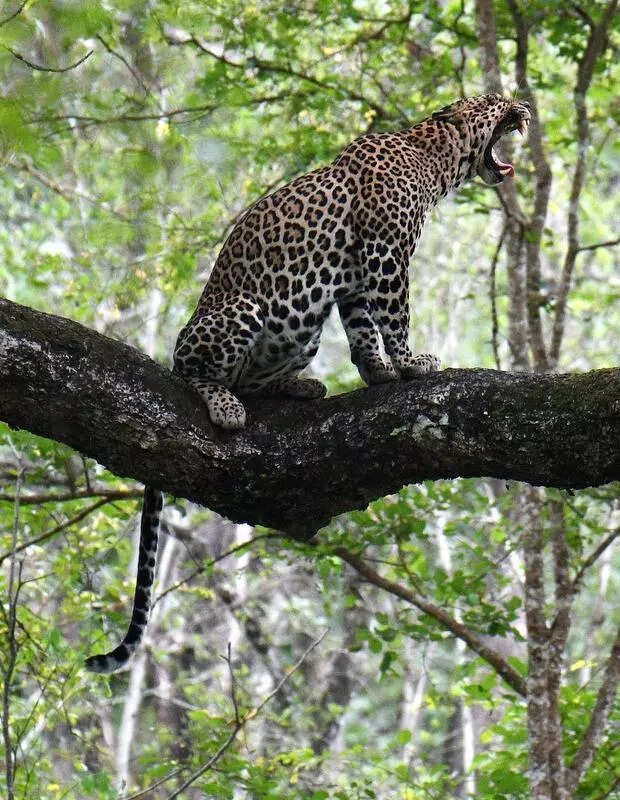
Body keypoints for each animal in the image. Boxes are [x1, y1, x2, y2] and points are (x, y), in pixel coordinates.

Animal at [85, 93, 531, 673]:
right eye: (495, 102)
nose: (525, 106)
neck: (435, 161)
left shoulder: (359, 278)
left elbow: (363, 329)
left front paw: (379, 371)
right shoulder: (386, 256)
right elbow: (395, 317)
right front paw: (412, 363)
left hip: (301, 335)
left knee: (259, 379)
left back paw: (299, 388)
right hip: (240, 312)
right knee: (195, 370)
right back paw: (225, 405)